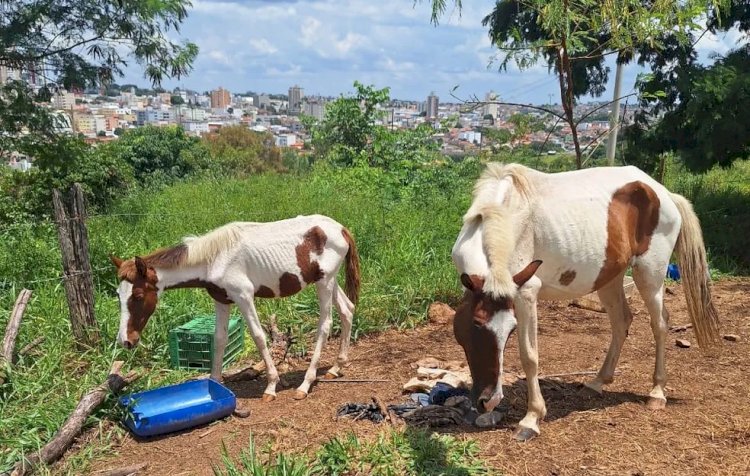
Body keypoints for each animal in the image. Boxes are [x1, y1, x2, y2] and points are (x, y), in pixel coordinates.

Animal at [108, 214, 362, 400]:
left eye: (138, 295)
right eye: (118, 295)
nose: (126, 340)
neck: (214, 259)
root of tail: (340, 228)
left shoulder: (244, 296)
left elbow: (258, 336)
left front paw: (271, 385)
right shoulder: (222, 300)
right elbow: (219, 339)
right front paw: (215, 382)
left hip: (324, 283)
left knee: (325, 325)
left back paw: (305, 384)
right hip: (329, 281)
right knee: (347, 310)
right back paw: (336, 367)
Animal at [452, 162, 724, 440]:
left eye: (511, 330)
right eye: (476, 324)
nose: (488, 401)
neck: (505, 217)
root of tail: (665, 194)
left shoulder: (526, 292)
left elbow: (529, 356)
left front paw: (531, 418)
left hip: (650, 275)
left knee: (659, 324)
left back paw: (657, 392)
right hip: (610, 278)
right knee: (621, 321)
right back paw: (598, 382)